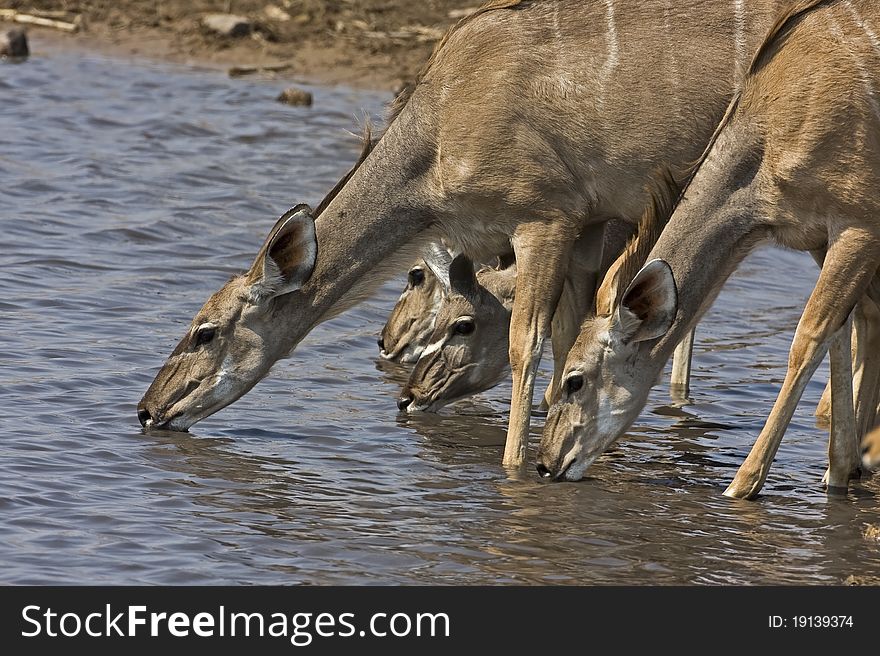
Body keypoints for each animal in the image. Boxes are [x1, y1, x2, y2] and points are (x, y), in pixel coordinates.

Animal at [138, 1, 784, 472]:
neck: (439, 131)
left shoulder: (545, 220)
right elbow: (570, 343)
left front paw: (515, 472)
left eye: (204, 332)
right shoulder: (589, 232)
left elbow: (529, 346)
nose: (147, 411)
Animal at [536, 0, 880, 500]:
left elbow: (809, 337)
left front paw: (741, 486)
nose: (545, 464)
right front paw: (840, 470)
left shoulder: (860, 225)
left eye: (574, 381)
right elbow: (842, 330)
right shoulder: (821, 236)